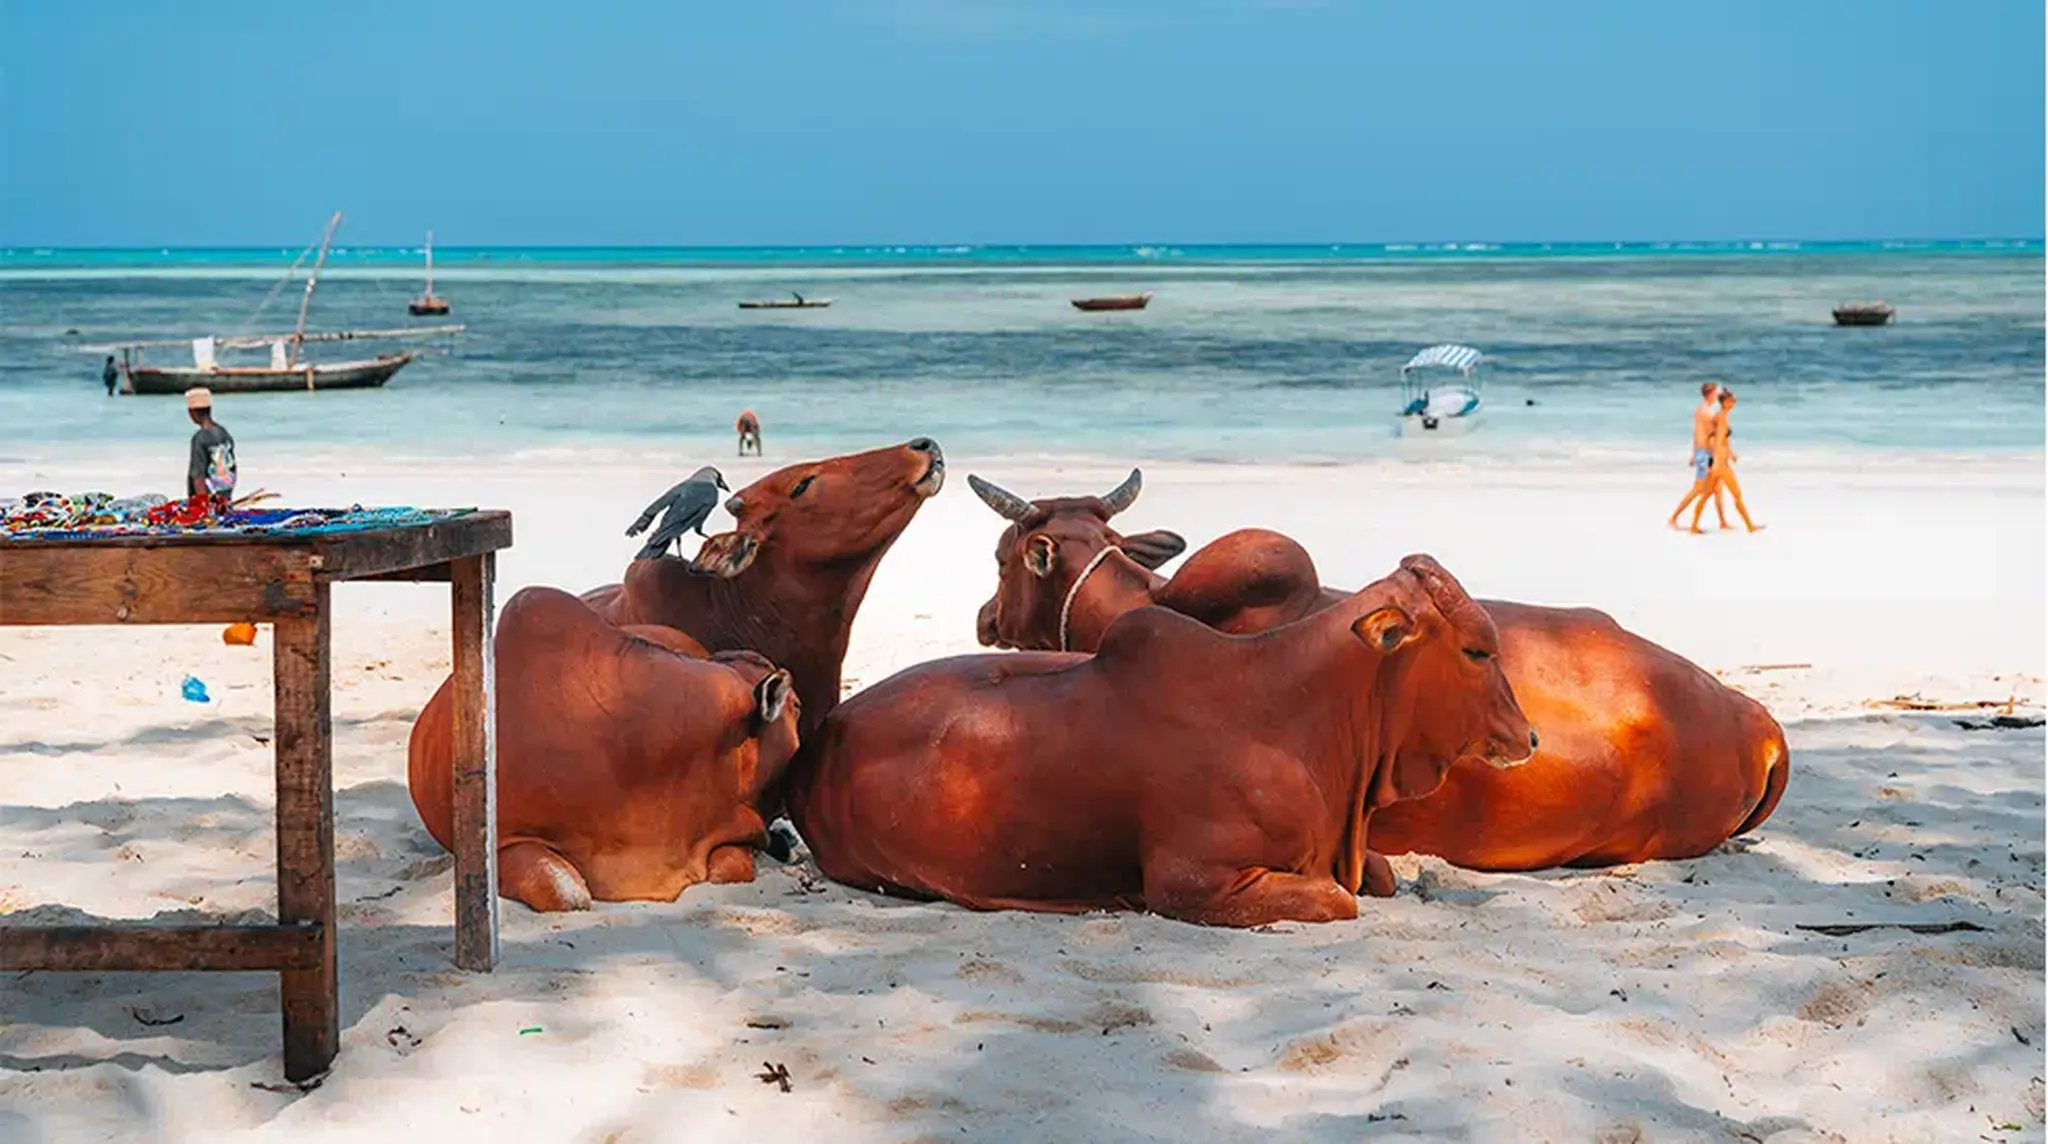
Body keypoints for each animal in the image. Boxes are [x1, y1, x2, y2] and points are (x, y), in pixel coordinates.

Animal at [786, 555, 1538, 927]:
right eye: (1477, 650)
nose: (1529, 737)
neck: (1293, 714)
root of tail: (818, 744)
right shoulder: (1192, 882)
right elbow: (1339, 899)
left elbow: (1376, 876)